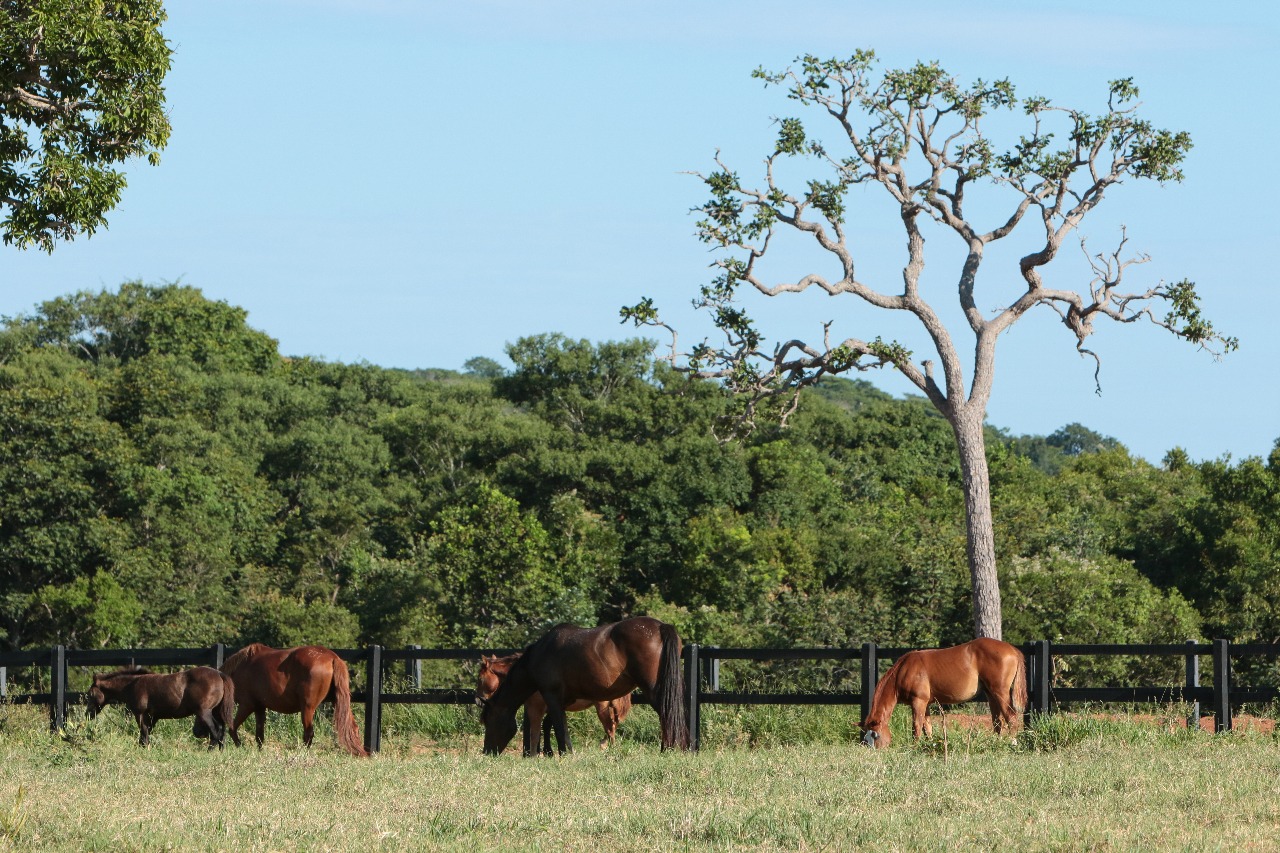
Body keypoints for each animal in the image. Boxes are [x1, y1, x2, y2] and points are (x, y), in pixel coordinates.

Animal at [86, 666, 239, 749]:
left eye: (90, 694)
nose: (88, 714)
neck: (132, 684)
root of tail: (219, 674)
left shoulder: (140, 714)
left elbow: (143, 734)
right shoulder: (153, 717)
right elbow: (145, 734)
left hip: (204, 712)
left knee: (216, 731)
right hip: (215, 711)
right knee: (221, 730)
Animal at [220, 643, 367, 757]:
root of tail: (332, 657)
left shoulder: (247, 705)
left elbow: (232, 728)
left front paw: (240, 746)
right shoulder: (259, 707)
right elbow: (259, 735)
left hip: (307, 708)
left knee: (308, 733)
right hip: (338, 702)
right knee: (353, 728)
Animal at [476, 653, 632, 754]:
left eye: (480, 679)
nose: (477, 700)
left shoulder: (540, 705)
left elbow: (538, 727)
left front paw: (540, 752)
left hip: (602, 707)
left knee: (610, 727)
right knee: (613, 725)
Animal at [860, 637, 1028, 749]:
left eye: (875, 735)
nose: (874, 751)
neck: (903, 670)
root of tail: (1013, 650)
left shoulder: (918, 702)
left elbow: (916, 725)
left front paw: (914, 747)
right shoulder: (926, 704)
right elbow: (927, 727)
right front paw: (929, 746)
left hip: (1000, 692)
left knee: (1011, 717)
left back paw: (1012, 743)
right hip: (991, 694)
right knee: (997, 721)